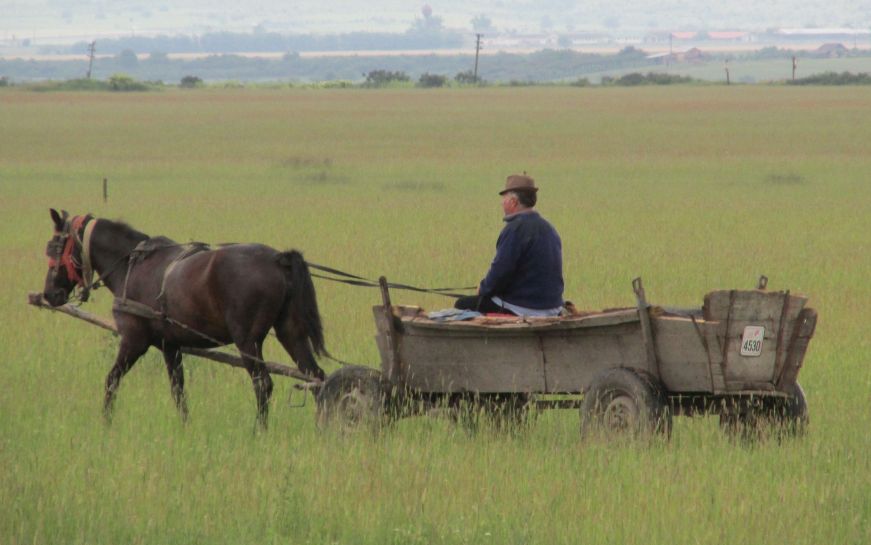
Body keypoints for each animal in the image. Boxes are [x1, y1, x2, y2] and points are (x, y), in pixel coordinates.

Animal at [42, 210, 328, 428]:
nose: (49, 294)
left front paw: (106, 422)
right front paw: (184, 426)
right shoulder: (170, 346)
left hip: (248, 341)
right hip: (290, 332)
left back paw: (260, 430)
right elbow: (178, 389)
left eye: (54, 248)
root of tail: (278, 258)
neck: (130, 265)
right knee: (316, 378)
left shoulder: (134, 340)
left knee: (263, 384)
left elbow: (112, 380)